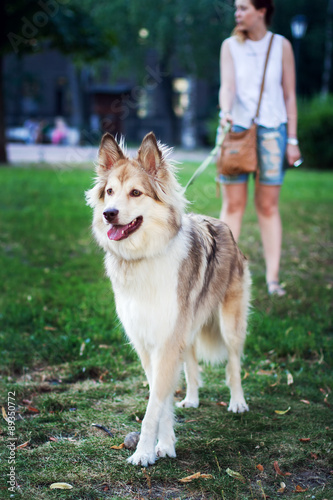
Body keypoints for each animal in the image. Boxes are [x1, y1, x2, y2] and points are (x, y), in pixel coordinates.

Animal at [85, 132, 249, 464]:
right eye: (109, 192)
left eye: (136, 193)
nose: (109, 214)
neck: (143, 257)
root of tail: (220, 223)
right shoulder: (147, 343)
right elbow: (161, 400)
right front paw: (165, 444)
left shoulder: (167, 341)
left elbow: (153, 407)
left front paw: (144, 452)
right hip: (188, 330)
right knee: (192, 366)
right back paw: (192, 399)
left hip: (230, 324)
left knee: (233, 363)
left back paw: (237, 402)